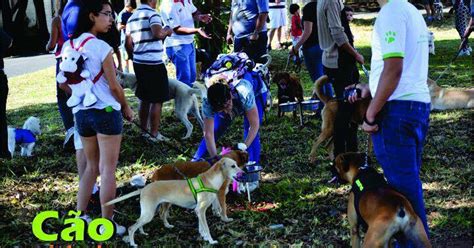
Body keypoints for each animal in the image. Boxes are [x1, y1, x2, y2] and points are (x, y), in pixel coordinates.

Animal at [105, 158, 243, 245]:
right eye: (233, 166)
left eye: (237, 164)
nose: (243, 172)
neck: (209, 180)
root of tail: (144, 188)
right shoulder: (201, 210)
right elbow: (206, 228)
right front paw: (211, 241)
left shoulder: (198, 211)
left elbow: (201, 227)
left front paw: (203, 237)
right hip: (149, 213)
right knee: (131, 228)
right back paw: (133, 244)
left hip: (148, 212)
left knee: (139, 222)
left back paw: (143, 233)